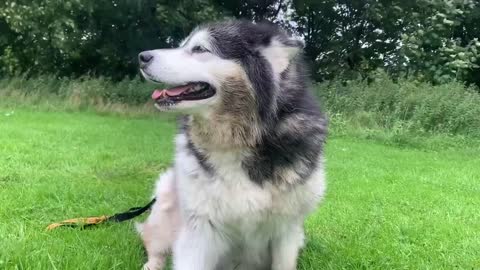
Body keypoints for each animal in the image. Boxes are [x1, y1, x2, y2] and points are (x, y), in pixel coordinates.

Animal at [137, 19, 328, 270]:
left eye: (199, 48)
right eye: (183, 44)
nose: (141, 56)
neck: (238, 140)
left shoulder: (287, 232)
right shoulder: (199, 229)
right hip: (165, 200)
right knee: (154, 245)